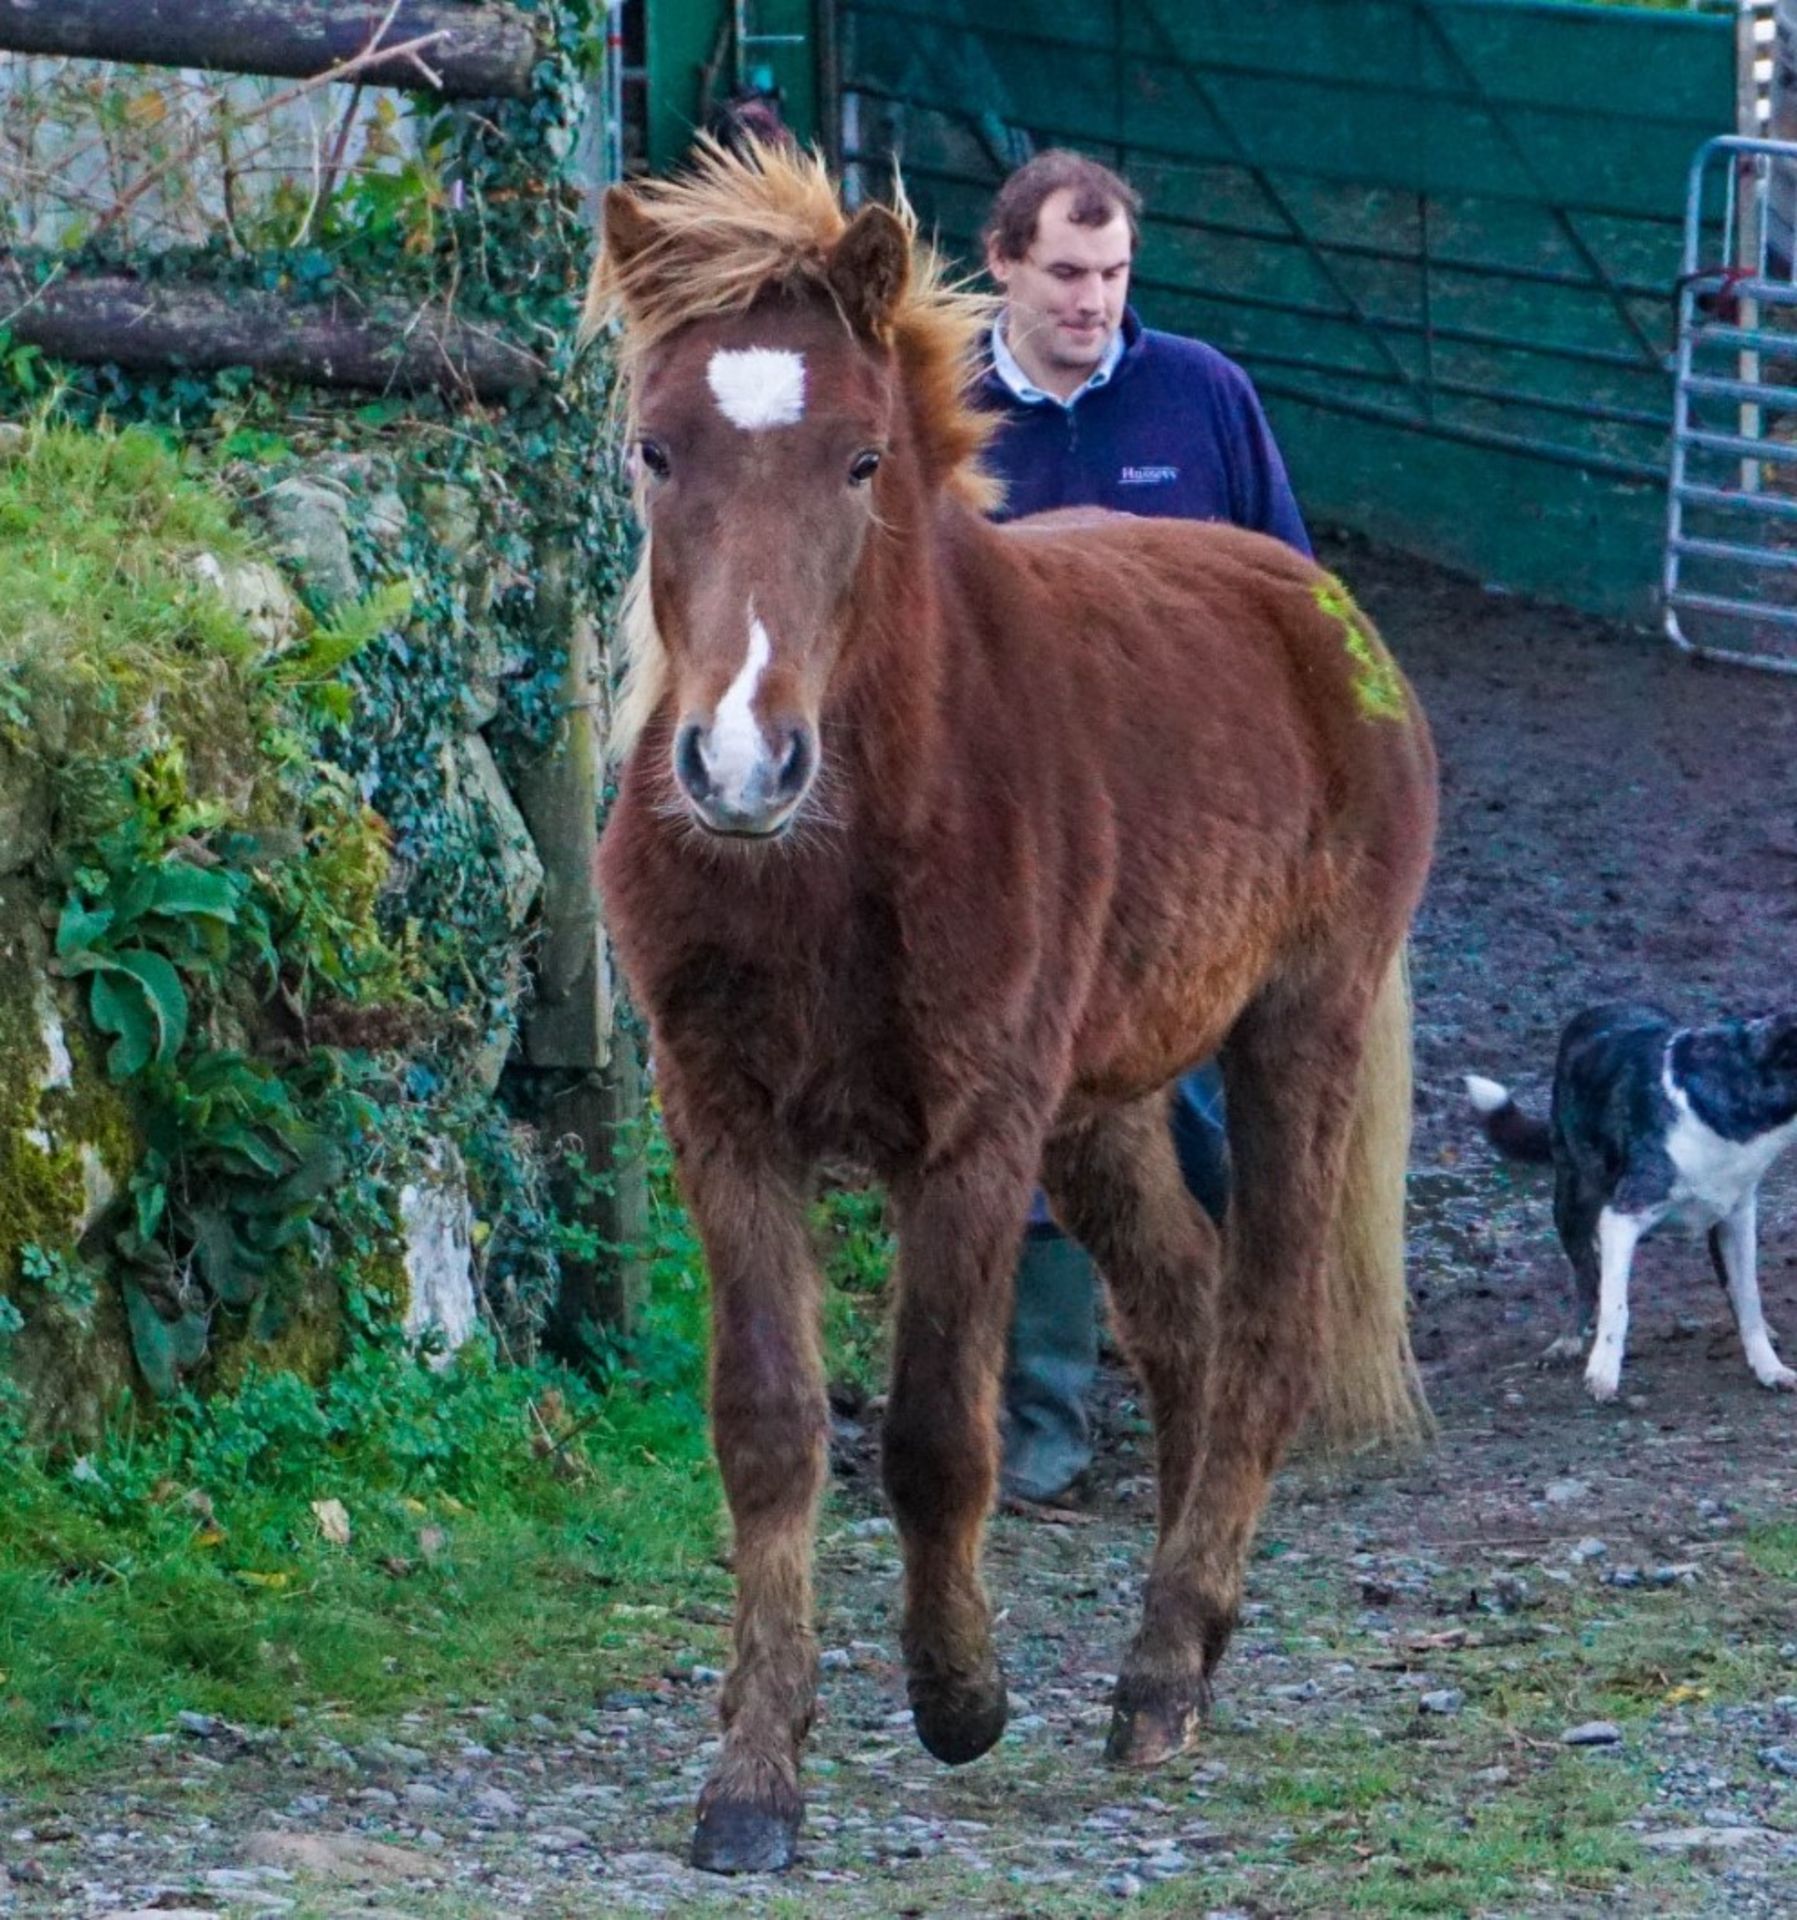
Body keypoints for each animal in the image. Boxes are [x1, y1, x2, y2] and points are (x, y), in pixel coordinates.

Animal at [595, 145, 1436, 1873]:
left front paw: (960, 1699)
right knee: (1180, 1311)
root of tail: (1314, 601)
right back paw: (1198, 1638)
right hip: (1104, 1100)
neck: (836, 852)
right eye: (655, 449)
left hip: (1293, 1037)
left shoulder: (972, 1135)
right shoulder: (722, 1123)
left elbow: (933, 1434)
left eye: (860, 460)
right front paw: (752, 1781)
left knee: (1260, 1332)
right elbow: (769, 1428)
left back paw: (1160, 1676)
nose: (737, 764)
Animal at [1459, 1013, 1797, 1405]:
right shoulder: (1622, 1217)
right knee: (1587, 1280)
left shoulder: (1737, 1219)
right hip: (1571, 1204)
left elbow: (1749, 1297)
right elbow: (1615, 1305)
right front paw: (1603, 1373)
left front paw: (1769, 1369)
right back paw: (1566, 1342)